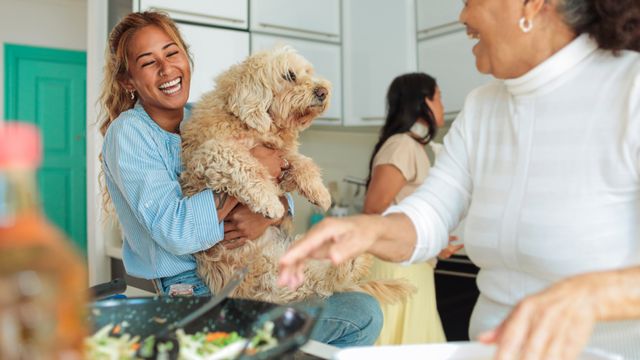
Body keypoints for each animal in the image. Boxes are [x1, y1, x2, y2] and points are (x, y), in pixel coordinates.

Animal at [179, 45, 416, 304]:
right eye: (289, 75)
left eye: (307, 72)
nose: (323, 91)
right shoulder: (209, 153)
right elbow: (245, 164)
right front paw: (270, 203)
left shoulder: (283, 157)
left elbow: (304, 163)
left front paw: (321, 193)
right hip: (269, 274)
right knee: (325, 283)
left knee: (330, 280)